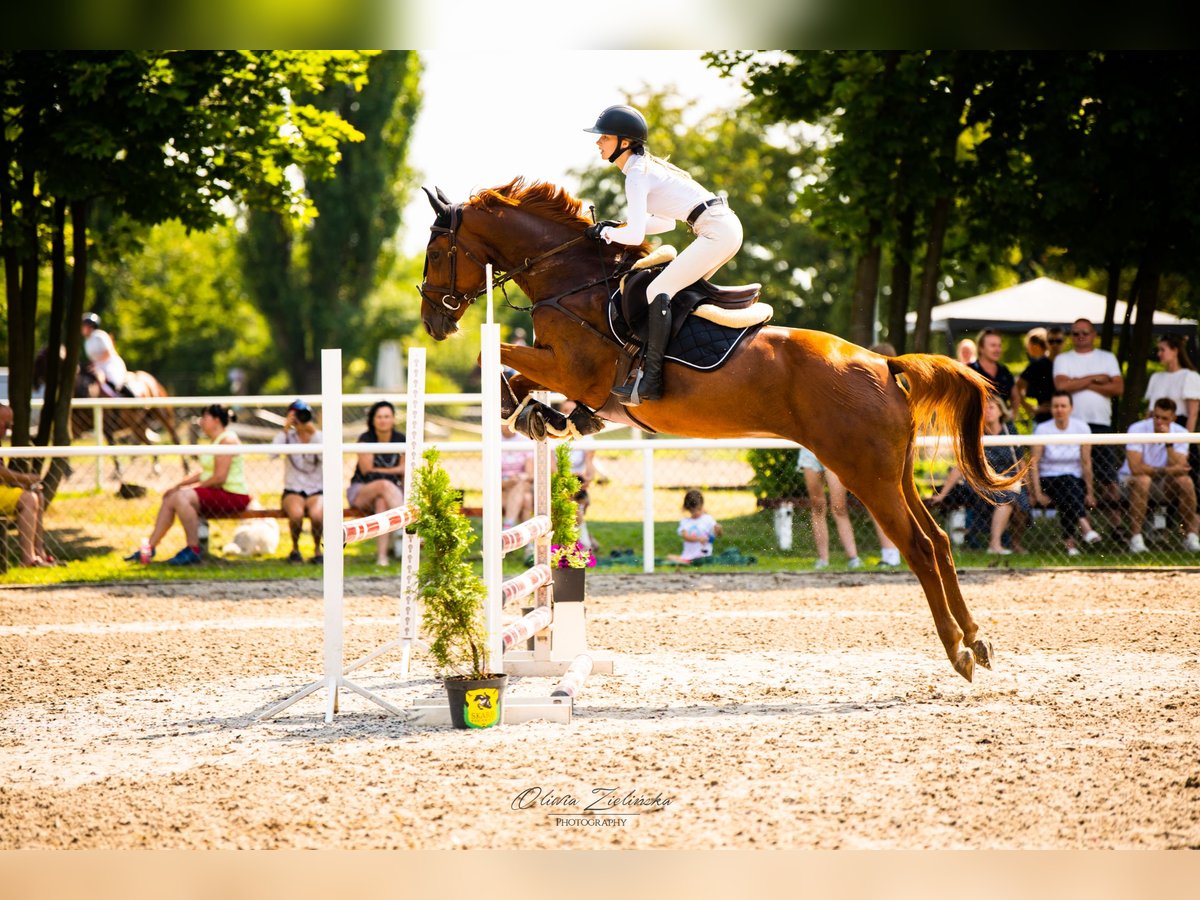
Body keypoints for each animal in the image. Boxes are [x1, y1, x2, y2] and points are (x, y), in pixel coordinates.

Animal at [420, 177, 1022, 681]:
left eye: (435, 253)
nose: (434, 322)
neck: (571, 280)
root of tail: (883, 364)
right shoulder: (563, 370)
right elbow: (515, 373)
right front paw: (542, 416)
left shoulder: (574, 370)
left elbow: (495, 354)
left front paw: (528, 409)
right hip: (893, 473)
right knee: (940, 540)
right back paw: (977, 639)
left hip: (864, 474)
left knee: (919, 548)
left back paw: (959, 652)